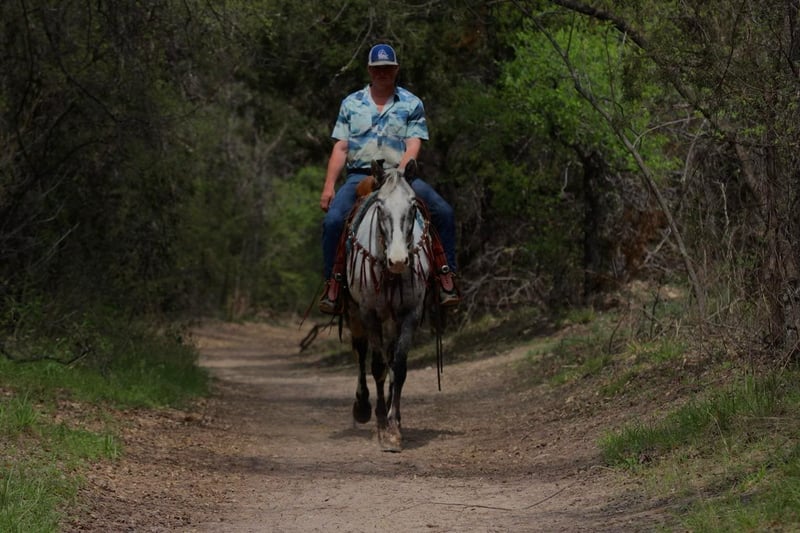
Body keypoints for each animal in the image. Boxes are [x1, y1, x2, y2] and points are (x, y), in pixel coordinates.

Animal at [345, 159, 434, 452]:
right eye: (380, 206)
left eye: (413, 206)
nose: (398, 260)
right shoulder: (369, 314)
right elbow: (377, 367)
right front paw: (383, 426)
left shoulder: (410, 314)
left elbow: (399, 367)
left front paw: (395, 427)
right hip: (355, 314)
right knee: (361, 352)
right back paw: (363, 407)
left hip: (392, 319)